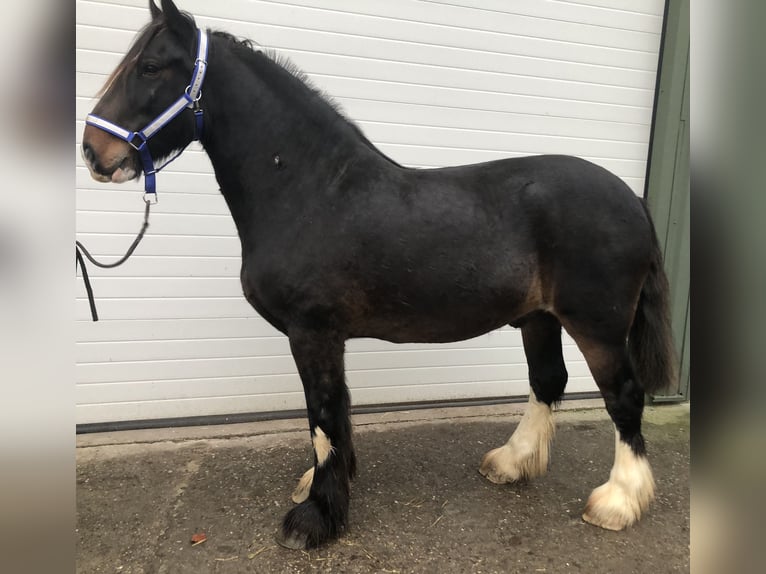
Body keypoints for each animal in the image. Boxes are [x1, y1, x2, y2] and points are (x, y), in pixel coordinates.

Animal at [81, 0, 675, 550]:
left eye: (150, 67)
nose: (92, 152)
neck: (311, 190)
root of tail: (632, 199)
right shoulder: (327, 336)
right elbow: (336, 412)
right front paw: (325, 486)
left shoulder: (312, 332)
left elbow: (322, 414)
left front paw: (315, 518)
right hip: (538, 318)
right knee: (547, 381)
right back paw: (512, 462)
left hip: (597, 326)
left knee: (623, 396)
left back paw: (618, 501)